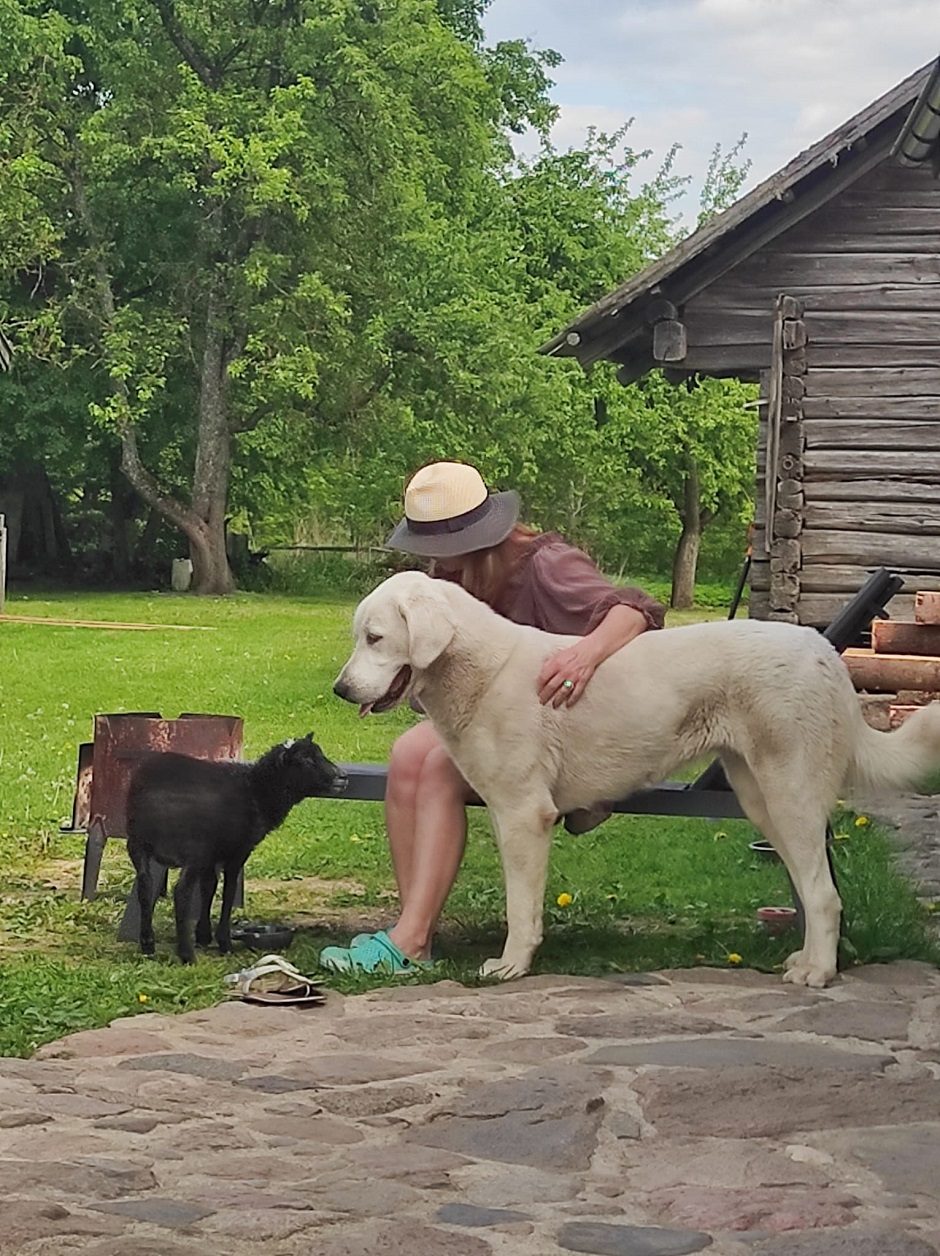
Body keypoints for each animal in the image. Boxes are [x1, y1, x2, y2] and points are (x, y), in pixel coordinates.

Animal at [125, 733, 344, 959]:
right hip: (192, 849)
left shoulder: (213, 854)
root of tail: (152, 791)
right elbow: (228, 892)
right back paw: (186, 954)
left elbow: (209, 887)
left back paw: (148, 945)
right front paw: (224, 942)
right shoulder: (237, 852)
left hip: (137, 844)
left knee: (145, 885)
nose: (341, 777)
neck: (257, 790)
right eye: (305, 760)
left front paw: (203, 935)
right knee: (181, 892)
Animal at [334, 572, 934, 989]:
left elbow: (520, 907)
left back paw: (818, 973)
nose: (340, 690)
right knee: (814, 890)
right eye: (358, 636)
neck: (481, 670)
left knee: (824, 894)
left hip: (790, 795)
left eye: (376, 637)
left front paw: (511, 967)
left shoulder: (524, 816)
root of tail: (824, 652)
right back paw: (808, 959)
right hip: (762, 799)